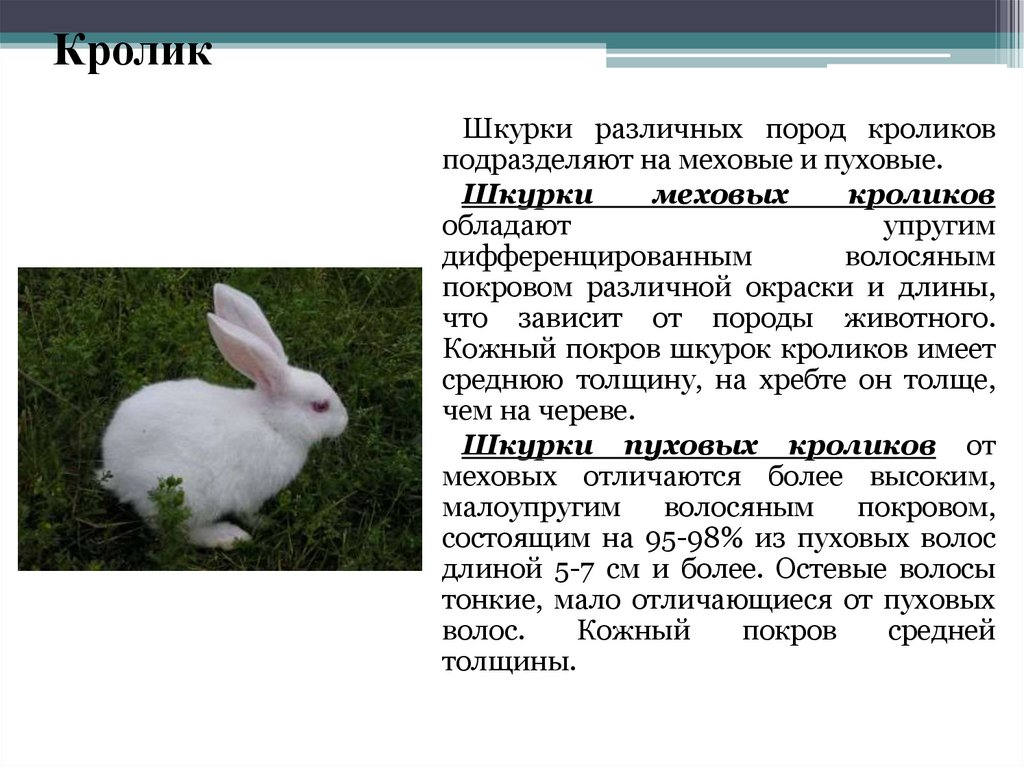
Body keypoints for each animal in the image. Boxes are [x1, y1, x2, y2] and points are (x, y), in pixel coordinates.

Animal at [100, 283, 348, 549]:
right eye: (320, 406)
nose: (345, 421)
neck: (273, 422)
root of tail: (115, 471)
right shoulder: (252, 493)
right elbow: (248, 512)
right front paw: (265, 523)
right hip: (182, 497)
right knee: (175, 531)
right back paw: (228, 537)